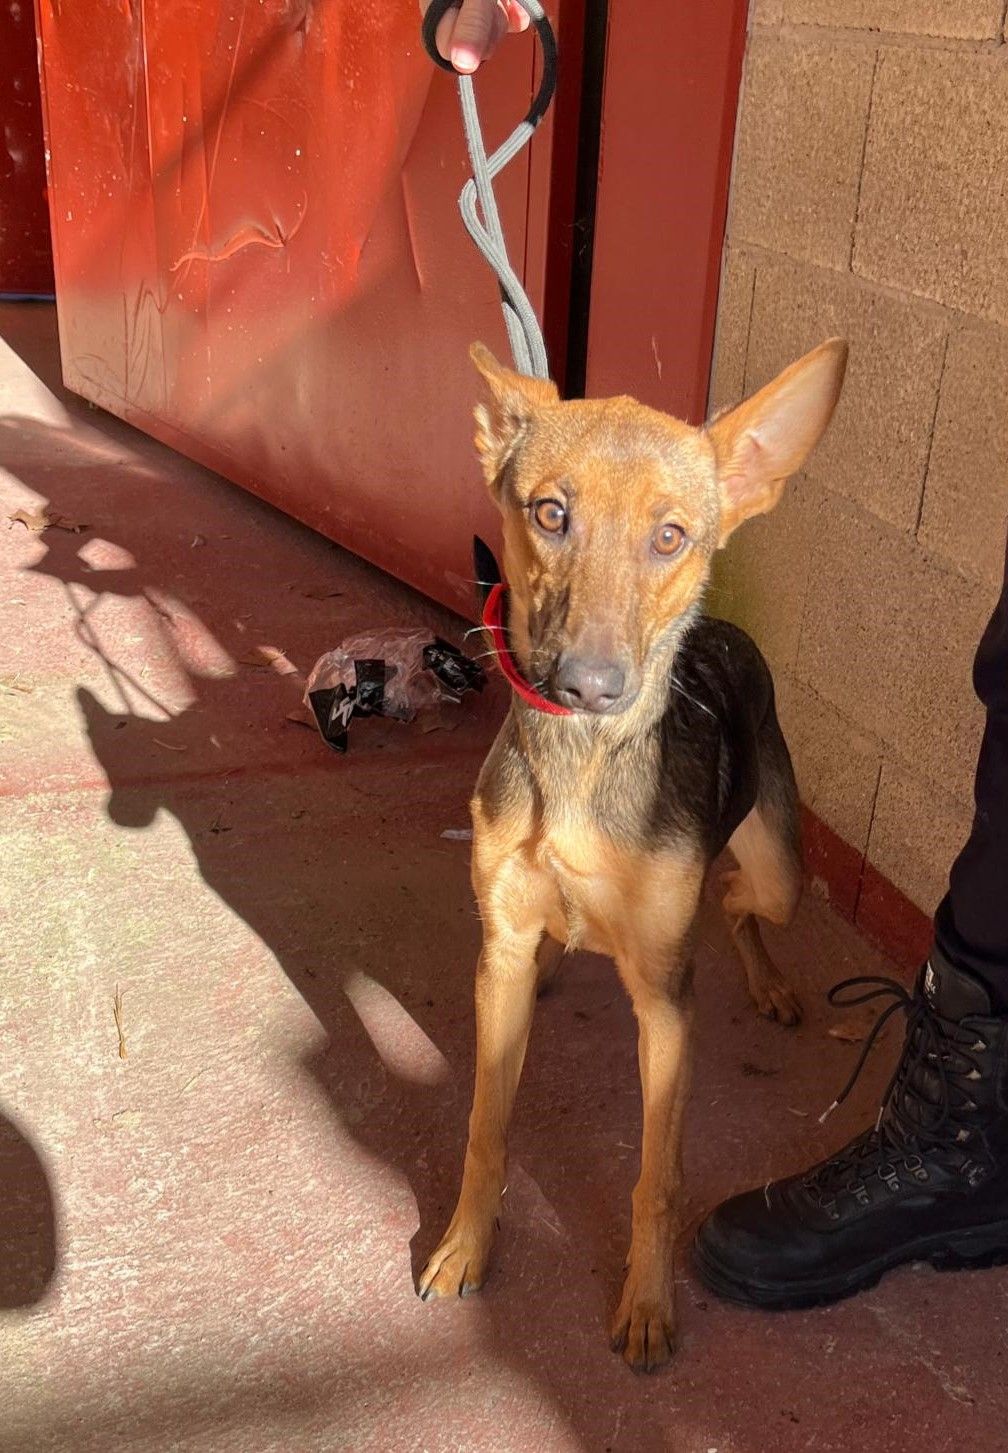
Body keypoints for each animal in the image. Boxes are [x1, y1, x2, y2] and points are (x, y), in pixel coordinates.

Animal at [418, 336, 848, 1370]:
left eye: (671, 536)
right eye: (550, 512)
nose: (590, 684)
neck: (580, 764)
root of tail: (723, 626)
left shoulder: (664, 1003)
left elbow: (659, 1175)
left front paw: (648, 1302)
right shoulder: (497, 952)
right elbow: (485, 1126)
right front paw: (465, 1243)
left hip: (781, 870)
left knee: (735, 899)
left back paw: (768, 981)